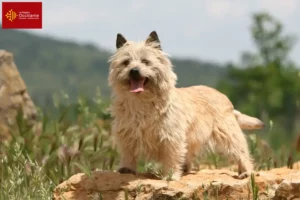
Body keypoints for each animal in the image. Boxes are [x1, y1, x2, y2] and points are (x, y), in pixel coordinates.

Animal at [108, 30, 264, 180]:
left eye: (145, 61)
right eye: (126, 62)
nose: (134, 71)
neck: (142, 101)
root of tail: (225, 97)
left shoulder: (171, 137)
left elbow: (172, 156)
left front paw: (170, 176)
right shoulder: (127, 133)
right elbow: (128, 152)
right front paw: (126, 169)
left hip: (228, 133)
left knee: (241, 152)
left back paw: (246, 172)